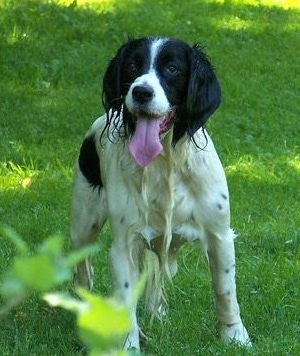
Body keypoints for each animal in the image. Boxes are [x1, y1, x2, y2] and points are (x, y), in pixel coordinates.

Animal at [71, 37, 252, 350]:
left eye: (172, 68)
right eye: (133, 65)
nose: (141, 91)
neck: (164, 164)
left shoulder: (220, 235)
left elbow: (225, 292)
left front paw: (235, 337)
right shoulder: (124, 245)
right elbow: (126, 301)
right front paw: (128, 347)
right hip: (83, 225)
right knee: (82, 274)